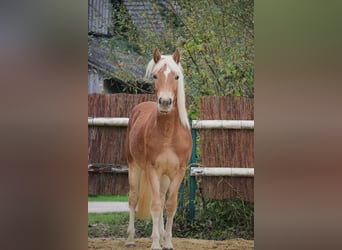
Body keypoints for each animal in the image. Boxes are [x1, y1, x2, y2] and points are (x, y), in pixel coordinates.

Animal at [125, 48, 192, 250]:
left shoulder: (178, 172)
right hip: (134, 167)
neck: (168, 134)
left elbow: (170, 205)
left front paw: (167, 242)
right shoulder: (152, 170)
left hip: (165, 176)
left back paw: (162, 236)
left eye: (176, 76)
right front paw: (155, 243)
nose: (164, 102)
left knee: (162, 199)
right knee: (133, 199)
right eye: (155, 76)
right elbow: (154, 205)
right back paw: (130, 239)